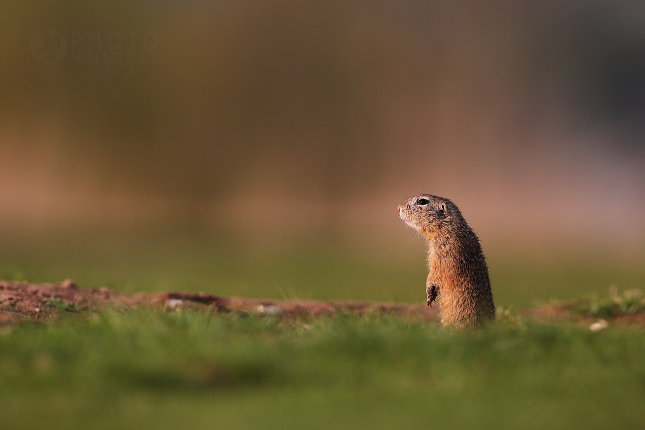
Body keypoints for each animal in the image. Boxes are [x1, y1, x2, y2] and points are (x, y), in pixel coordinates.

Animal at [398, 193, 494, 328]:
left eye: (422, 201)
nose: (398, 208)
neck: (447, 228)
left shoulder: (442, 254)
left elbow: (435, 274)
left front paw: (429, 294)